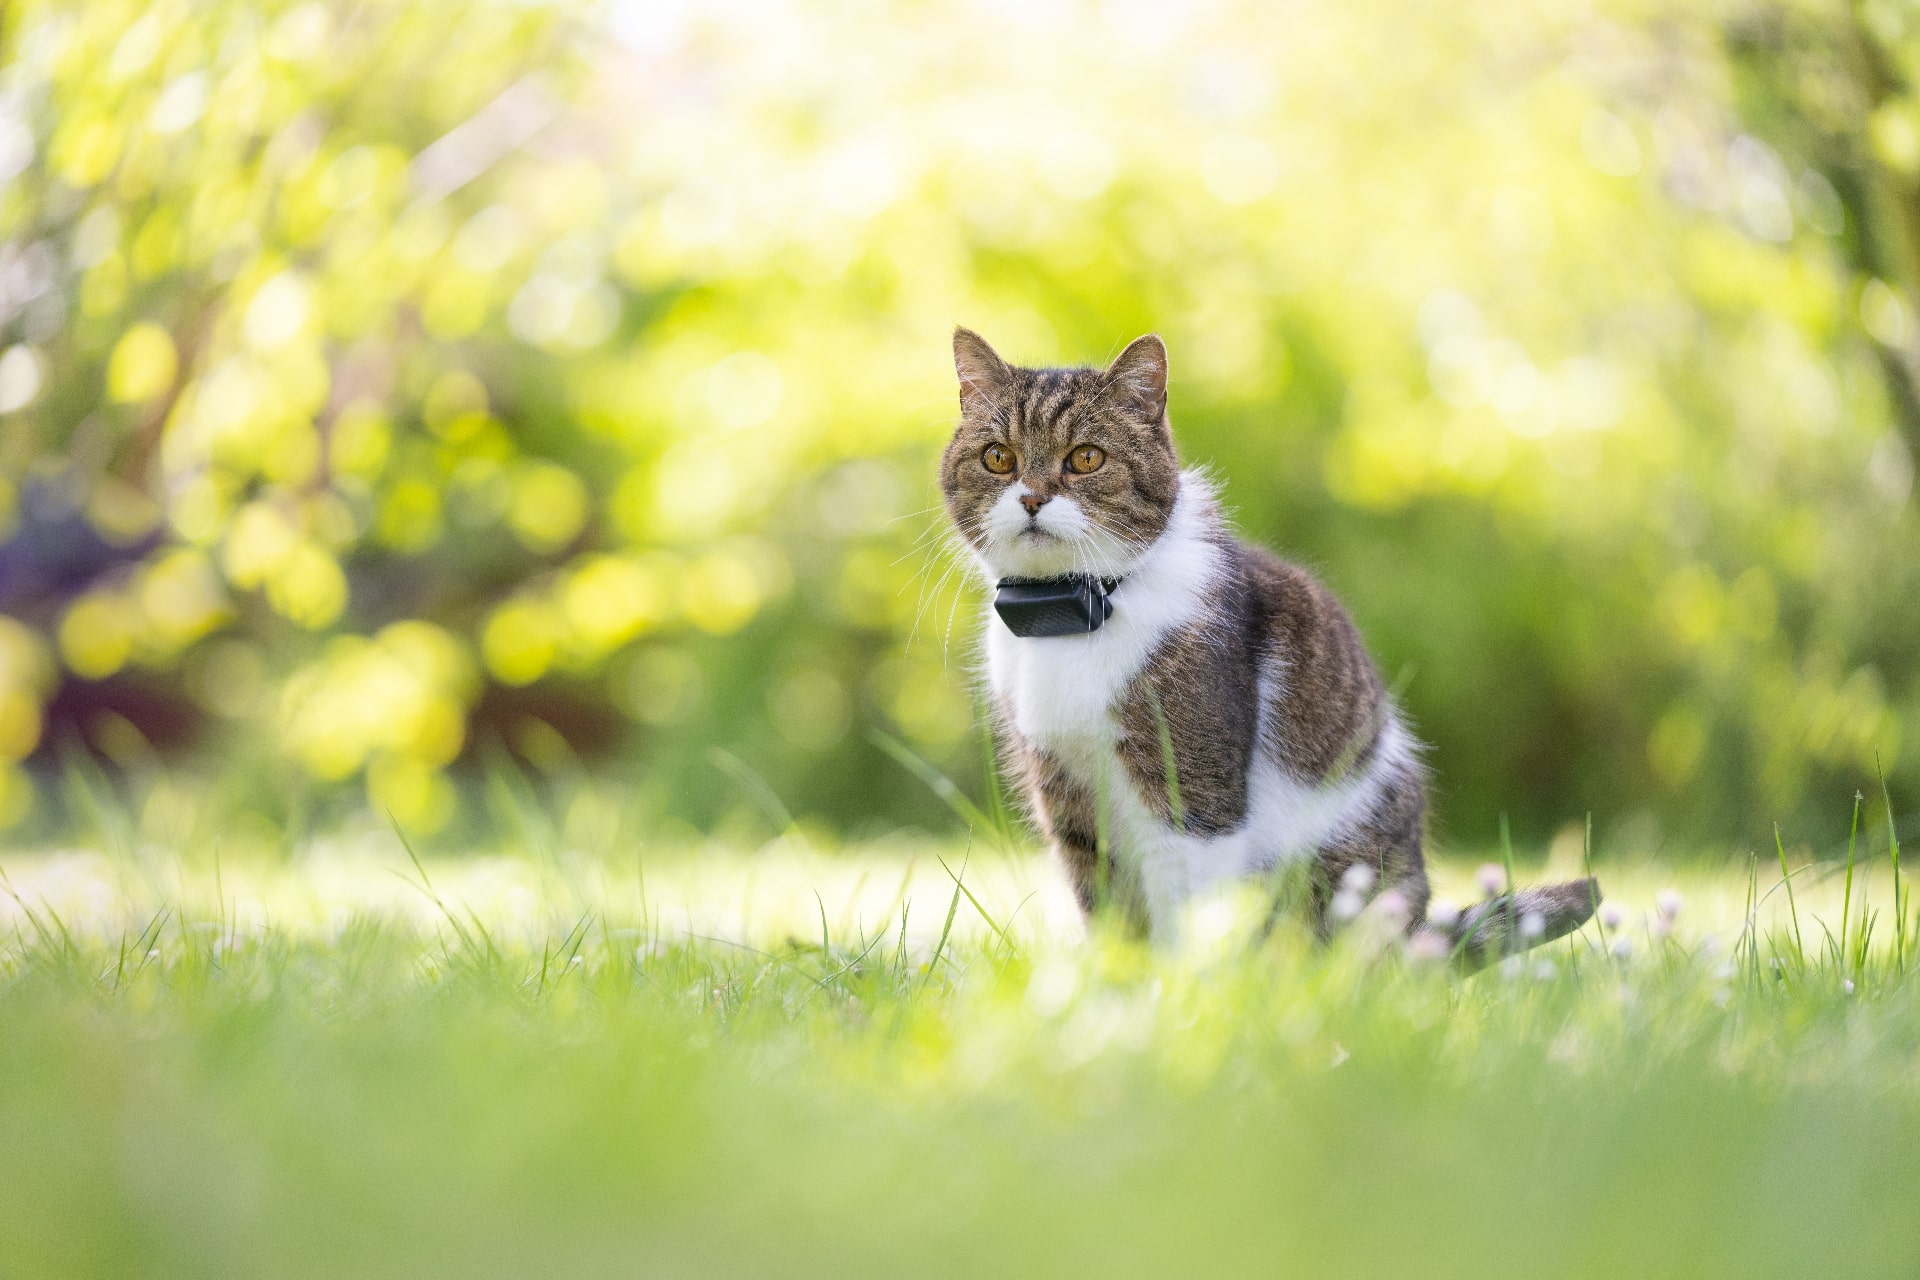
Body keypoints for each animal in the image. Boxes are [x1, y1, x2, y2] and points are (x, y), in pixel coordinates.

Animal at [936, 326, 1597, 967]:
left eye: (1086, 458)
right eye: (998, 457)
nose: (1031, 498)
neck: (1074, 621)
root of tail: (1417, 934)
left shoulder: (1194, 789)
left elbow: (1189, 913)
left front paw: (1180, 993)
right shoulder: (1068, 797)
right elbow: (1109, 913)